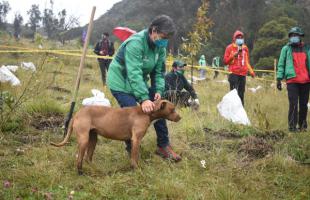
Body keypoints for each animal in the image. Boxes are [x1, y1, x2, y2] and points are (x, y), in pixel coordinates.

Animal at [51, 99, 180, 174]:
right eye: (172, 109)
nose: (180, 117)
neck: (145, 113)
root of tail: (77, 113)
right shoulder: (136, 140)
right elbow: (135, 157)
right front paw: (136, 169)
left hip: (93, 139)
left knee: (88, 158)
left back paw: (95, 169)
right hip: (84, 140)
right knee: (79, 160)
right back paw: (81, 172)